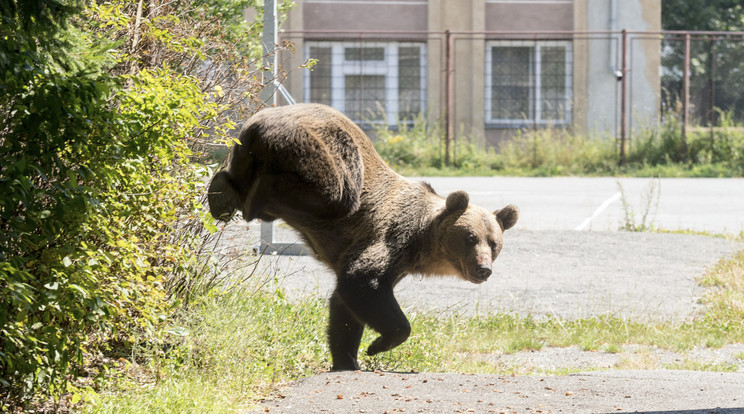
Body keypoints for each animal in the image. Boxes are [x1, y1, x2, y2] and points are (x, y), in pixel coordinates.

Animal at [205, 105, 516, 370]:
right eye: (470, 238)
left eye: (494, 244)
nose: (483, 268)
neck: (422, 242)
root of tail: (259, 120)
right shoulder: (392, 235)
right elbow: (361, 280)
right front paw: (376, 346)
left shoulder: (399, 264)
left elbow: (344, 307)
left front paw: (347, 358)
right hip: (321, 150)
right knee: (335, 191)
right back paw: (255, 197)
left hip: (246, 150)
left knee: (236, 177)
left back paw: (221, 193)